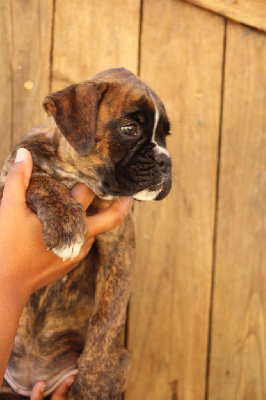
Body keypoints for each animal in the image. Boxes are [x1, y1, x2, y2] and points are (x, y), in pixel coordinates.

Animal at [0, 69, 171, 400]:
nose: (165, 161)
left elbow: (109, 317)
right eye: (129, 128)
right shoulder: (7, 185)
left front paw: (97, 381)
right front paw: (66, 220)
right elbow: (43, 181)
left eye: (165, 136)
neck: (77, 174)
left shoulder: (120, 248)